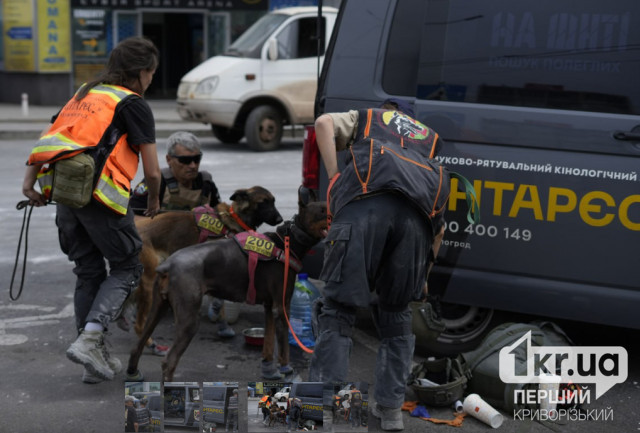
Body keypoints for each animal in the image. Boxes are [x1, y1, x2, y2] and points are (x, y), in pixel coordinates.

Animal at [129, 186, 282, 352]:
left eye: (273, 201)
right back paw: (149, 342)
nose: (280, 220)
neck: (234, 219)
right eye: (263, 202)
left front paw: (222, 324)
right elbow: (219, 302)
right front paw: (220, 319)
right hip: (149, 281)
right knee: (139, 324)